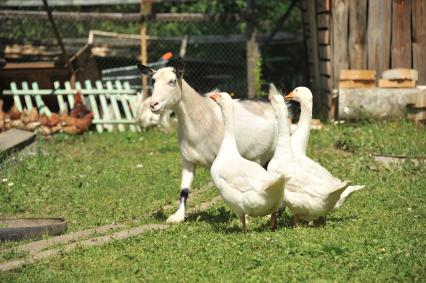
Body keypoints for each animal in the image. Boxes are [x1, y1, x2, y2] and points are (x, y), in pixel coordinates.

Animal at [139, 61, 286, 224]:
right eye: (153, 81)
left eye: (172, 81)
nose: (154, 105)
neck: (202, 116)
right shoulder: (187, 159)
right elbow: (184, 190)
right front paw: (177, 216)